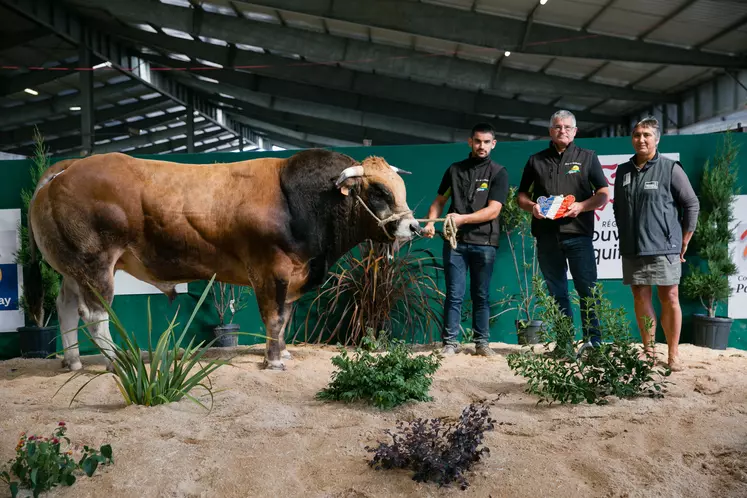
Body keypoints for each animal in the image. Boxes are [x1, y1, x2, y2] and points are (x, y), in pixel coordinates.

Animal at [26, 148, 420, 370]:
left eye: (399, 189)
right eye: (379, 191)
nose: (414, 226)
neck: (302, 201)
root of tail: (67, 168)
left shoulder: (294, 274)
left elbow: (286, 318)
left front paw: (284, 354)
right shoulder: (271, 270)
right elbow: (275, 318)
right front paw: (273, 361)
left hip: (72, 269)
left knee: (65, 306)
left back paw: (73, 361)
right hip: (95, 264)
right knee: (94, 316)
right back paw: (115, 362)